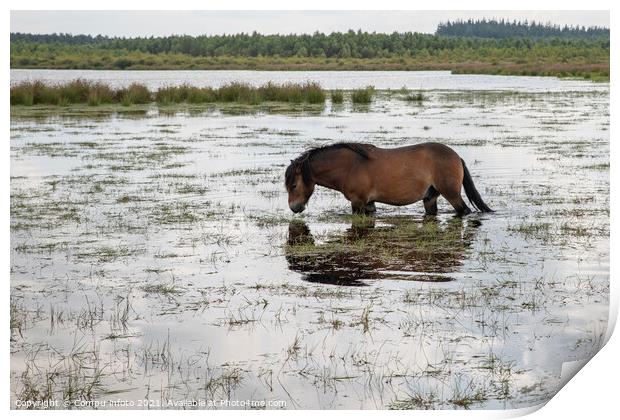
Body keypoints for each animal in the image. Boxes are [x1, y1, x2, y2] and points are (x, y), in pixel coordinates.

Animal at [284, 143, 492, 218]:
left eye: (293, 185)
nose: (294, 208)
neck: (350, 166)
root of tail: (456, 157)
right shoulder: (369, 204)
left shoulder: (358, 202)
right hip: (430, 197)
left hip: (452, 194)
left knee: (464, 211)